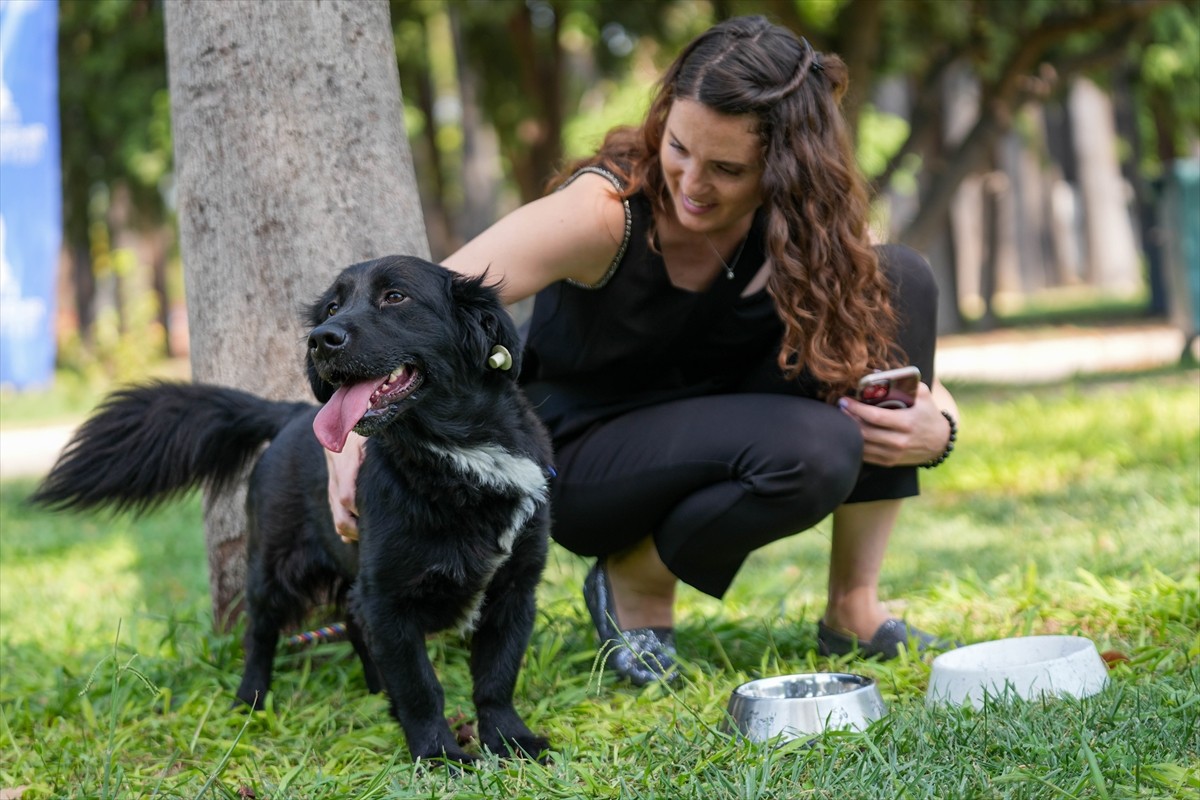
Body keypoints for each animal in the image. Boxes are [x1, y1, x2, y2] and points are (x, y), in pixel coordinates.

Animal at [32, 255, 554, 762]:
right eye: (331, 307)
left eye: (395, 297)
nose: (321, 339)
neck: (460, 457)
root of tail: (293, 413)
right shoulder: (387, 598)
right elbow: (422, 687)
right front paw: (438, 754)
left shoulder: (514, 590)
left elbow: (496, 677)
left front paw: (510, 740)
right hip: (270, 568)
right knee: (260, 635)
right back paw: (250, 700)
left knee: (352, 621)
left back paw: (376, 692)